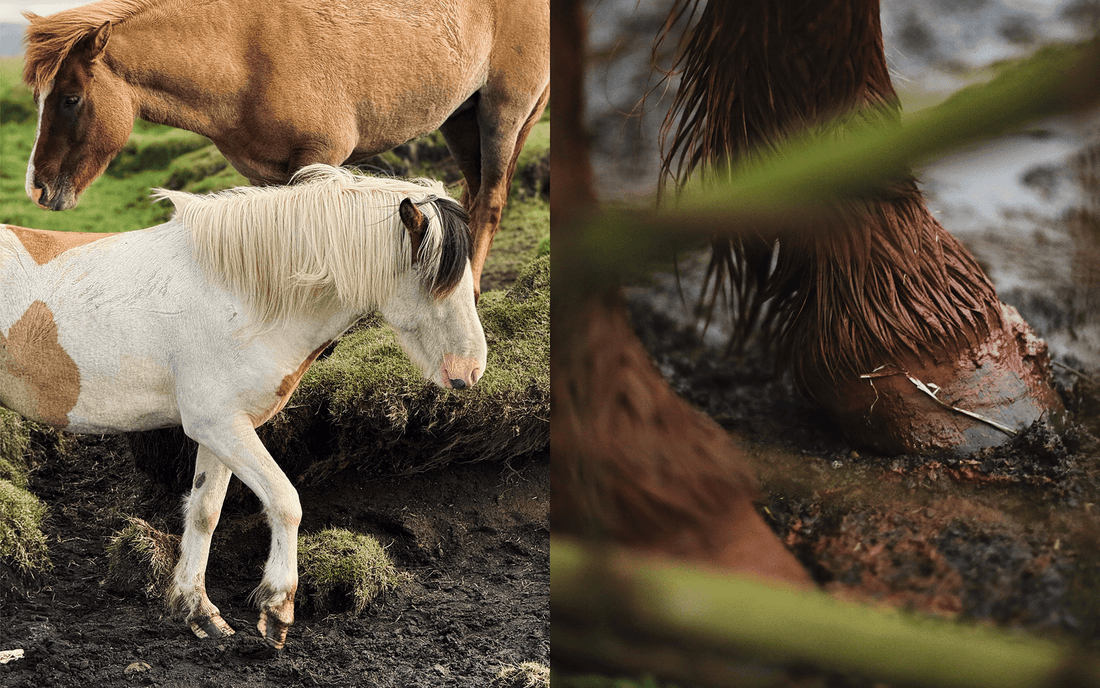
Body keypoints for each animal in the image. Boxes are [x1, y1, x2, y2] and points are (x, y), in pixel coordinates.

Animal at [0, 164, 486, 647]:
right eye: (436, 281)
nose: (472, 369)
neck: (237, 296)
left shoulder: (221, 430)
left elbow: (204, 512)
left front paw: (199, 611)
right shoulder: (219, 426)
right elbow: (286, 502)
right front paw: (277, 609)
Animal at [20, 0, 545, 292]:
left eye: (70, 99)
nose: (37, 189)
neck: (244, 52)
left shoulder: (319, 160)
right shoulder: (264, 172)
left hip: (501, 114)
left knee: (490, 201)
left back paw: (469, 289)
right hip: (461, 120)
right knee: (473, 195)